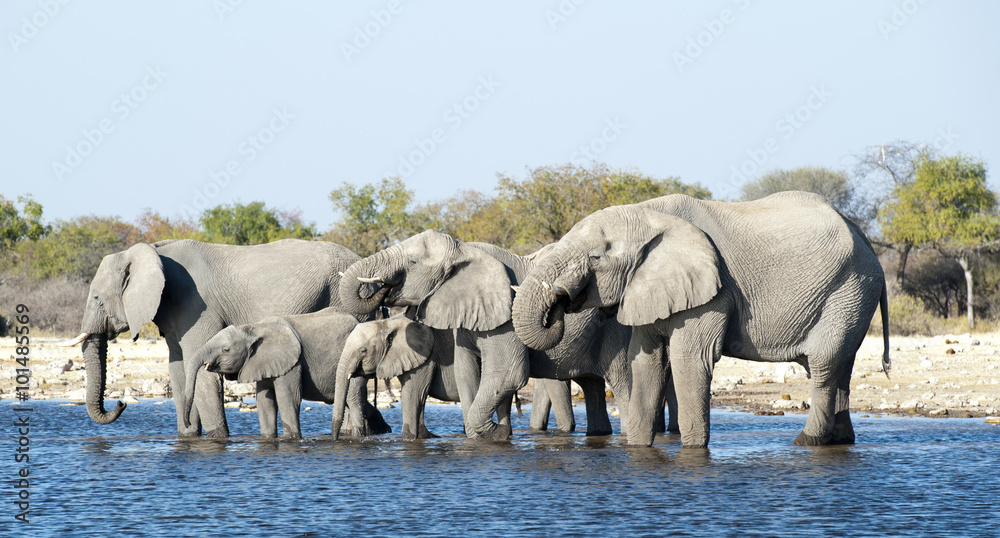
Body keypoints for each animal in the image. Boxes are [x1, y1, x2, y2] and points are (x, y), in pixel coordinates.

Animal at [182, 308, 390, 438]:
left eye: (226, 350)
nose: (187, 423)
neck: (252, 328)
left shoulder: (292, 363)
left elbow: (288, 399)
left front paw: (292, 439)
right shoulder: (263, 362)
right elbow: (264, 402)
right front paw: (268, 438)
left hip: (355, 364)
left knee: (354, 401)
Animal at [330, 315, 578, 440]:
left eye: (363, 350)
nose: (335, 439)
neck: (388, 322)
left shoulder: (425, 357)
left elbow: (413, 395)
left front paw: (410, 440)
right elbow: (418, 399)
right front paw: (427, 437)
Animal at [512, 191, 890, 448]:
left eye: (595, 257)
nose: (560, 299)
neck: (648, 214)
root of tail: (865, 239)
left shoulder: (713, 291)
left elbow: (688, 359)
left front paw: (692, 450)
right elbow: (646, 362)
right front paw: (637, 448)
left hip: (849, 289)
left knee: (824, 365)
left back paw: (805, 442)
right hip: (852, 295)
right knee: (839, 367)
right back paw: (840, 441)